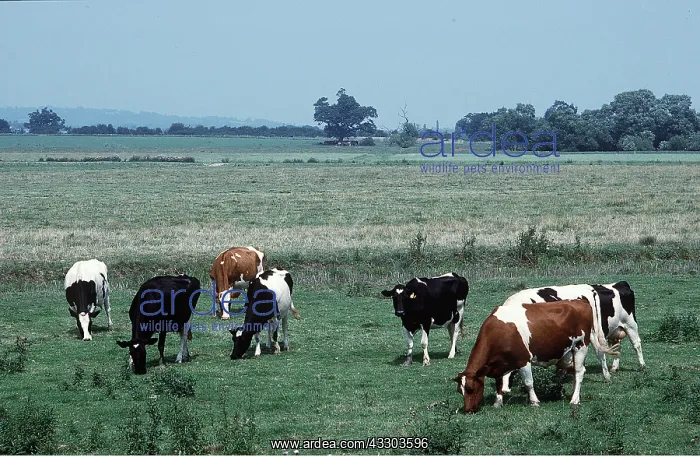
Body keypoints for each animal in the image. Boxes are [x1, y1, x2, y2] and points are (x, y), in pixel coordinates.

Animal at [454, 298, 620, 413]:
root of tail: (580, 301)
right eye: (460, 391)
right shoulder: (499, 364)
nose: (467, 410)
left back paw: (574, 399)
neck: (498, 331)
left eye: (471, 388)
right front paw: (497, 403)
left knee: (579, 372)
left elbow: (528, 383)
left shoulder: (523, 360)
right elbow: (499, 384)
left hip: (580, 346)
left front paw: (534, 401)